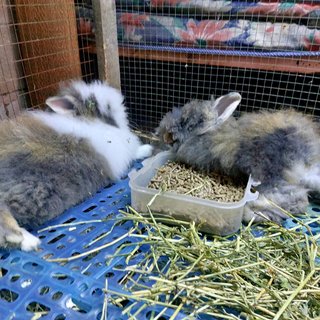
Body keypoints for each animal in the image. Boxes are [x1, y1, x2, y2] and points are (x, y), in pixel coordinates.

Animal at [0, 79, 152, 251]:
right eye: (95, 103)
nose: (119, 99)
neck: (91, 122)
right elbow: (134, 153)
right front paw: (147, 149)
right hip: (29, 189)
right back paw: (27, 240)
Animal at [157, 91, 320, 224]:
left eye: (188, 124)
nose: (165, 136)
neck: (212, 133)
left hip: (270, 177)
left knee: (295, 200)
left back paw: (252, 213)